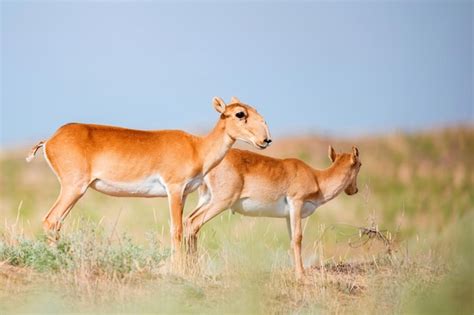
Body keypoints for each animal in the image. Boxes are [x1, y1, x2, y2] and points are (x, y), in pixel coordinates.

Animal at [25, 97, 270, 254]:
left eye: (256, 111)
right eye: (240, 113)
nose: (265, 140)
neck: (197, 147)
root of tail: (51, 139)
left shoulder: (185, 194)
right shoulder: (174, 189)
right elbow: (176, 230)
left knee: (56, 222)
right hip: (74, 188)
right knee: (51, 219)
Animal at [183, 146, 362, 278]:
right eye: (359, 164)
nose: (353, 190)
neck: (316, 177)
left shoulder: (288, 216)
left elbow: (291, 240)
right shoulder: (296, 203)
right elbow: (298, 238)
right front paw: (301, 274)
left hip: (206, 200)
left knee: (187, 220)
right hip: (221, 202)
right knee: (194, 223)